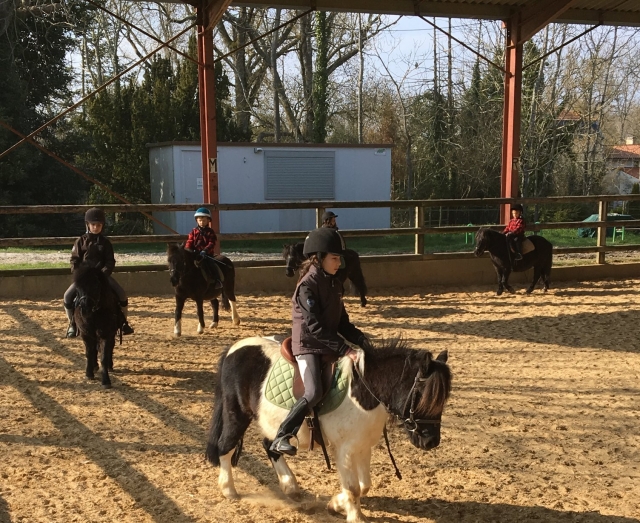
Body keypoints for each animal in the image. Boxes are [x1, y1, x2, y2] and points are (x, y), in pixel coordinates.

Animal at [205, 336, 451, 522]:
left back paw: (289, 485)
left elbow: (364, 485)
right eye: (422, 396)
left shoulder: (363, 446)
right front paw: (355, 516)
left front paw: (335, 504)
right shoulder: (344, 449)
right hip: (236, 414)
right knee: (225, 447)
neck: (363, 390)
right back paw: (229, 490)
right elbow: (353, 487)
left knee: (270, 445)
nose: (431, 442)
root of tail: (234, 348)